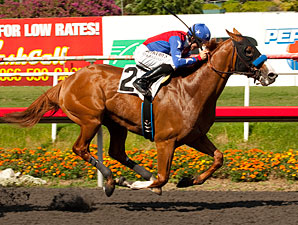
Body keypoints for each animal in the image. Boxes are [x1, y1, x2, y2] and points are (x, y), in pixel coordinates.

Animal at [3, 28, 278, 197]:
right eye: (248, 50)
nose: (272, 74)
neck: (191, 89)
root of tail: (67, 80)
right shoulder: (165, 141)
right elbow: (163, 177)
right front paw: (135, 183)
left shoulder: (195, 136)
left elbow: (219, 157)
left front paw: (189, 180)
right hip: (90, 119)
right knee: (80, 148)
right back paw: (112, 181)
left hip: (115, 123)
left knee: (116, 152)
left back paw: (128, 176)